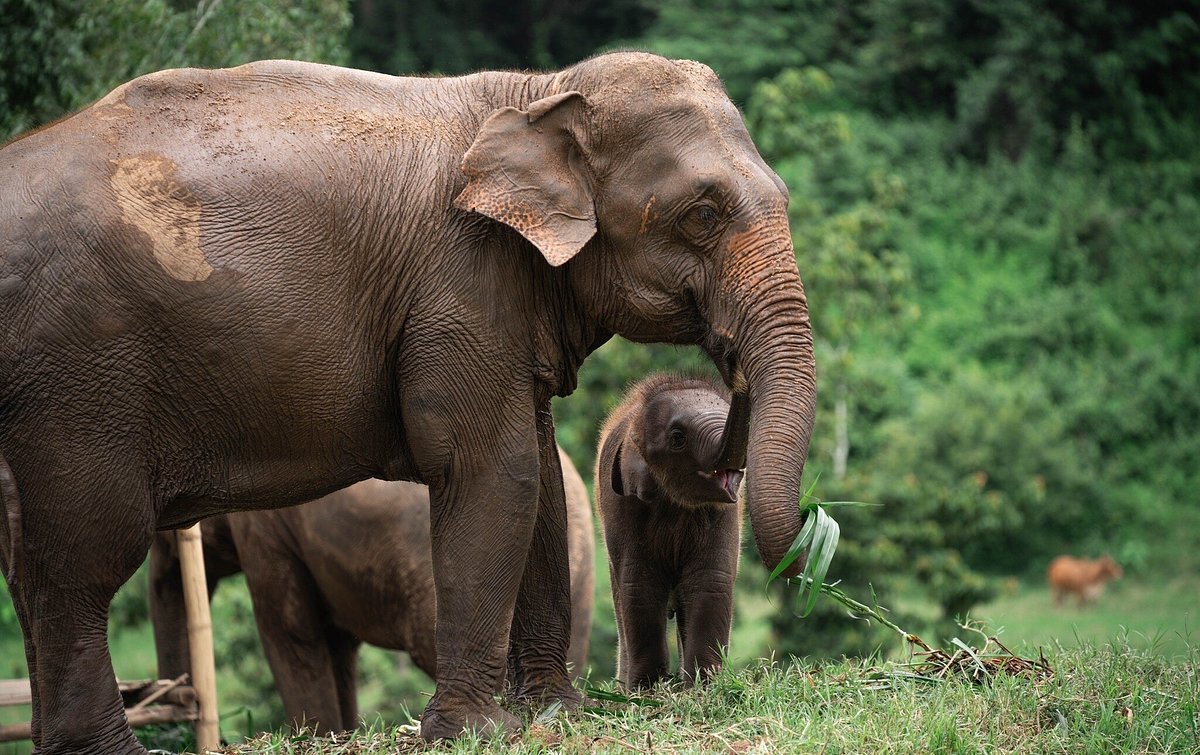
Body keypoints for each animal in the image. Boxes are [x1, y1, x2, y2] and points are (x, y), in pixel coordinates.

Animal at [595, 374, 744, 688]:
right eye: (678, 437)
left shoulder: (725, 514)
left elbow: (710, 580)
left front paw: (704, 686)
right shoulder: (624, 506)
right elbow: (640, 586)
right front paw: (647, 689)